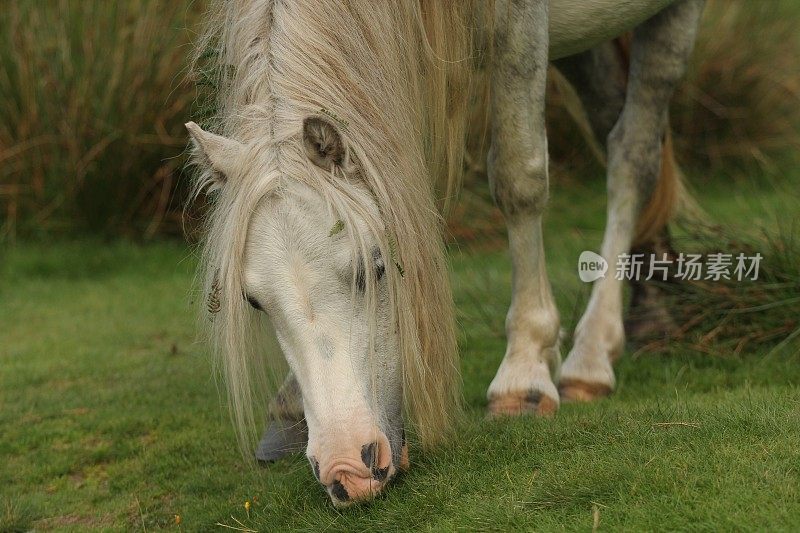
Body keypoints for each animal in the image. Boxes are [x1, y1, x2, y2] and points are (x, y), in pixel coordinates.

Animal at [186, 0, 700, 508]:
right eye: (254, 302)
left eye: (375, 268)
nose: (346, 467)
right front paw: (289, 408)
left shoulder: (519, 23)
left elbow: (519, 176)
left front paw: (524, 370)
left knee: (632, 155)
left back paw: (594, 352)